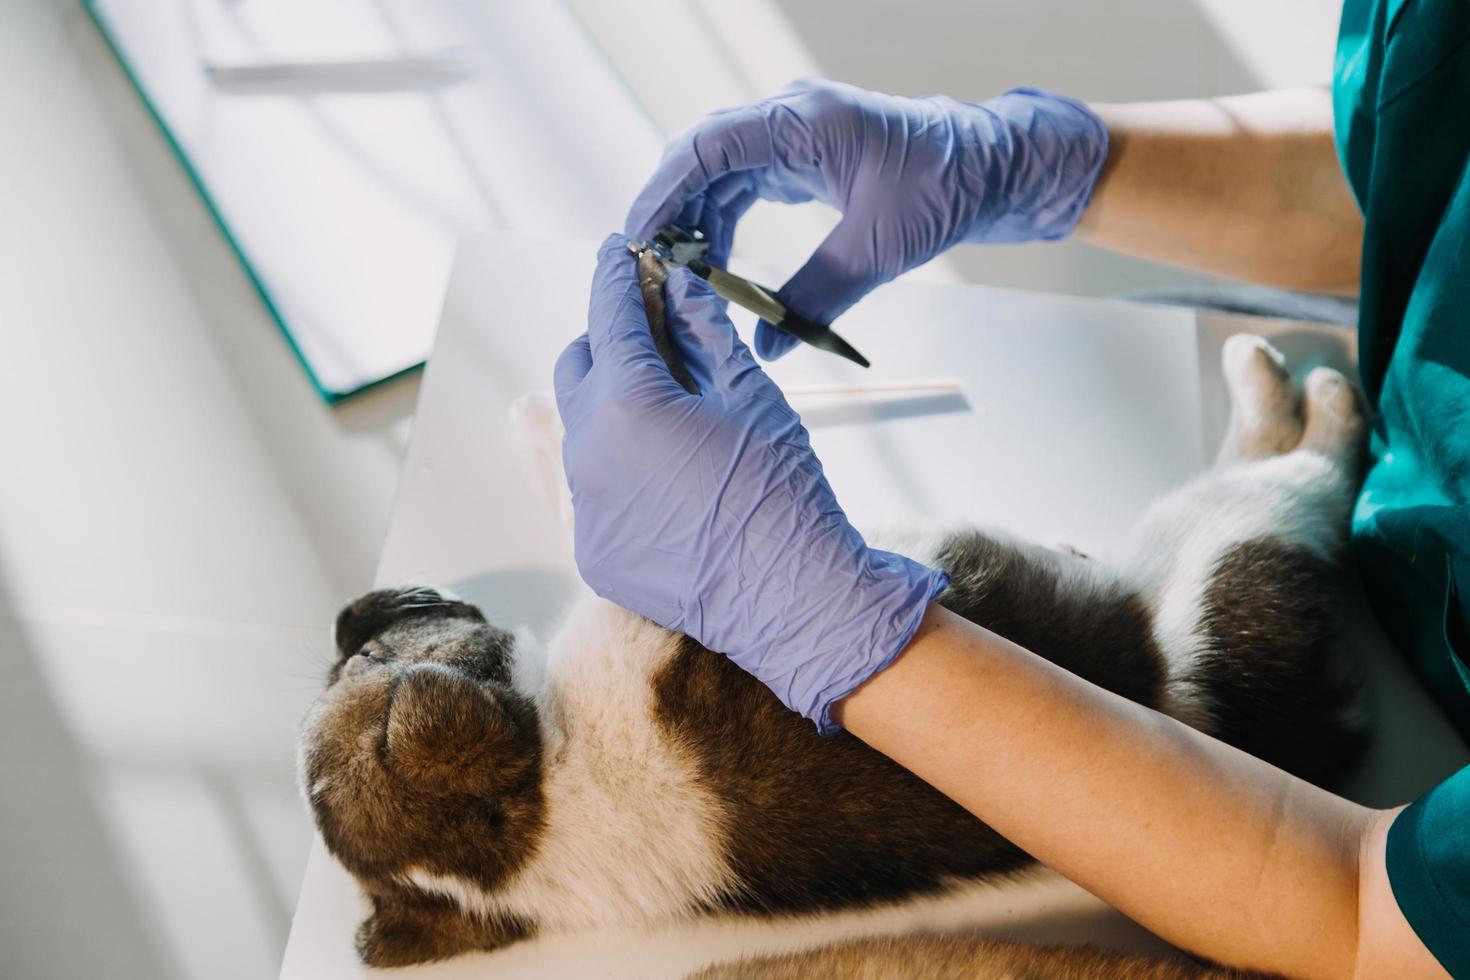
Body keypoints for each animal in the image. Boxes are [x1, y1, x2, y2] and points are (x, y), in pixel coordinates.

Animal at [295, 252, 1364, 975]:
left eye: (355, 657)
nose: (351, 610)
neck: (535, 814)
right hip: (1227, 554)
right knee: (1302, 470)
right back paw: (1302, 388)